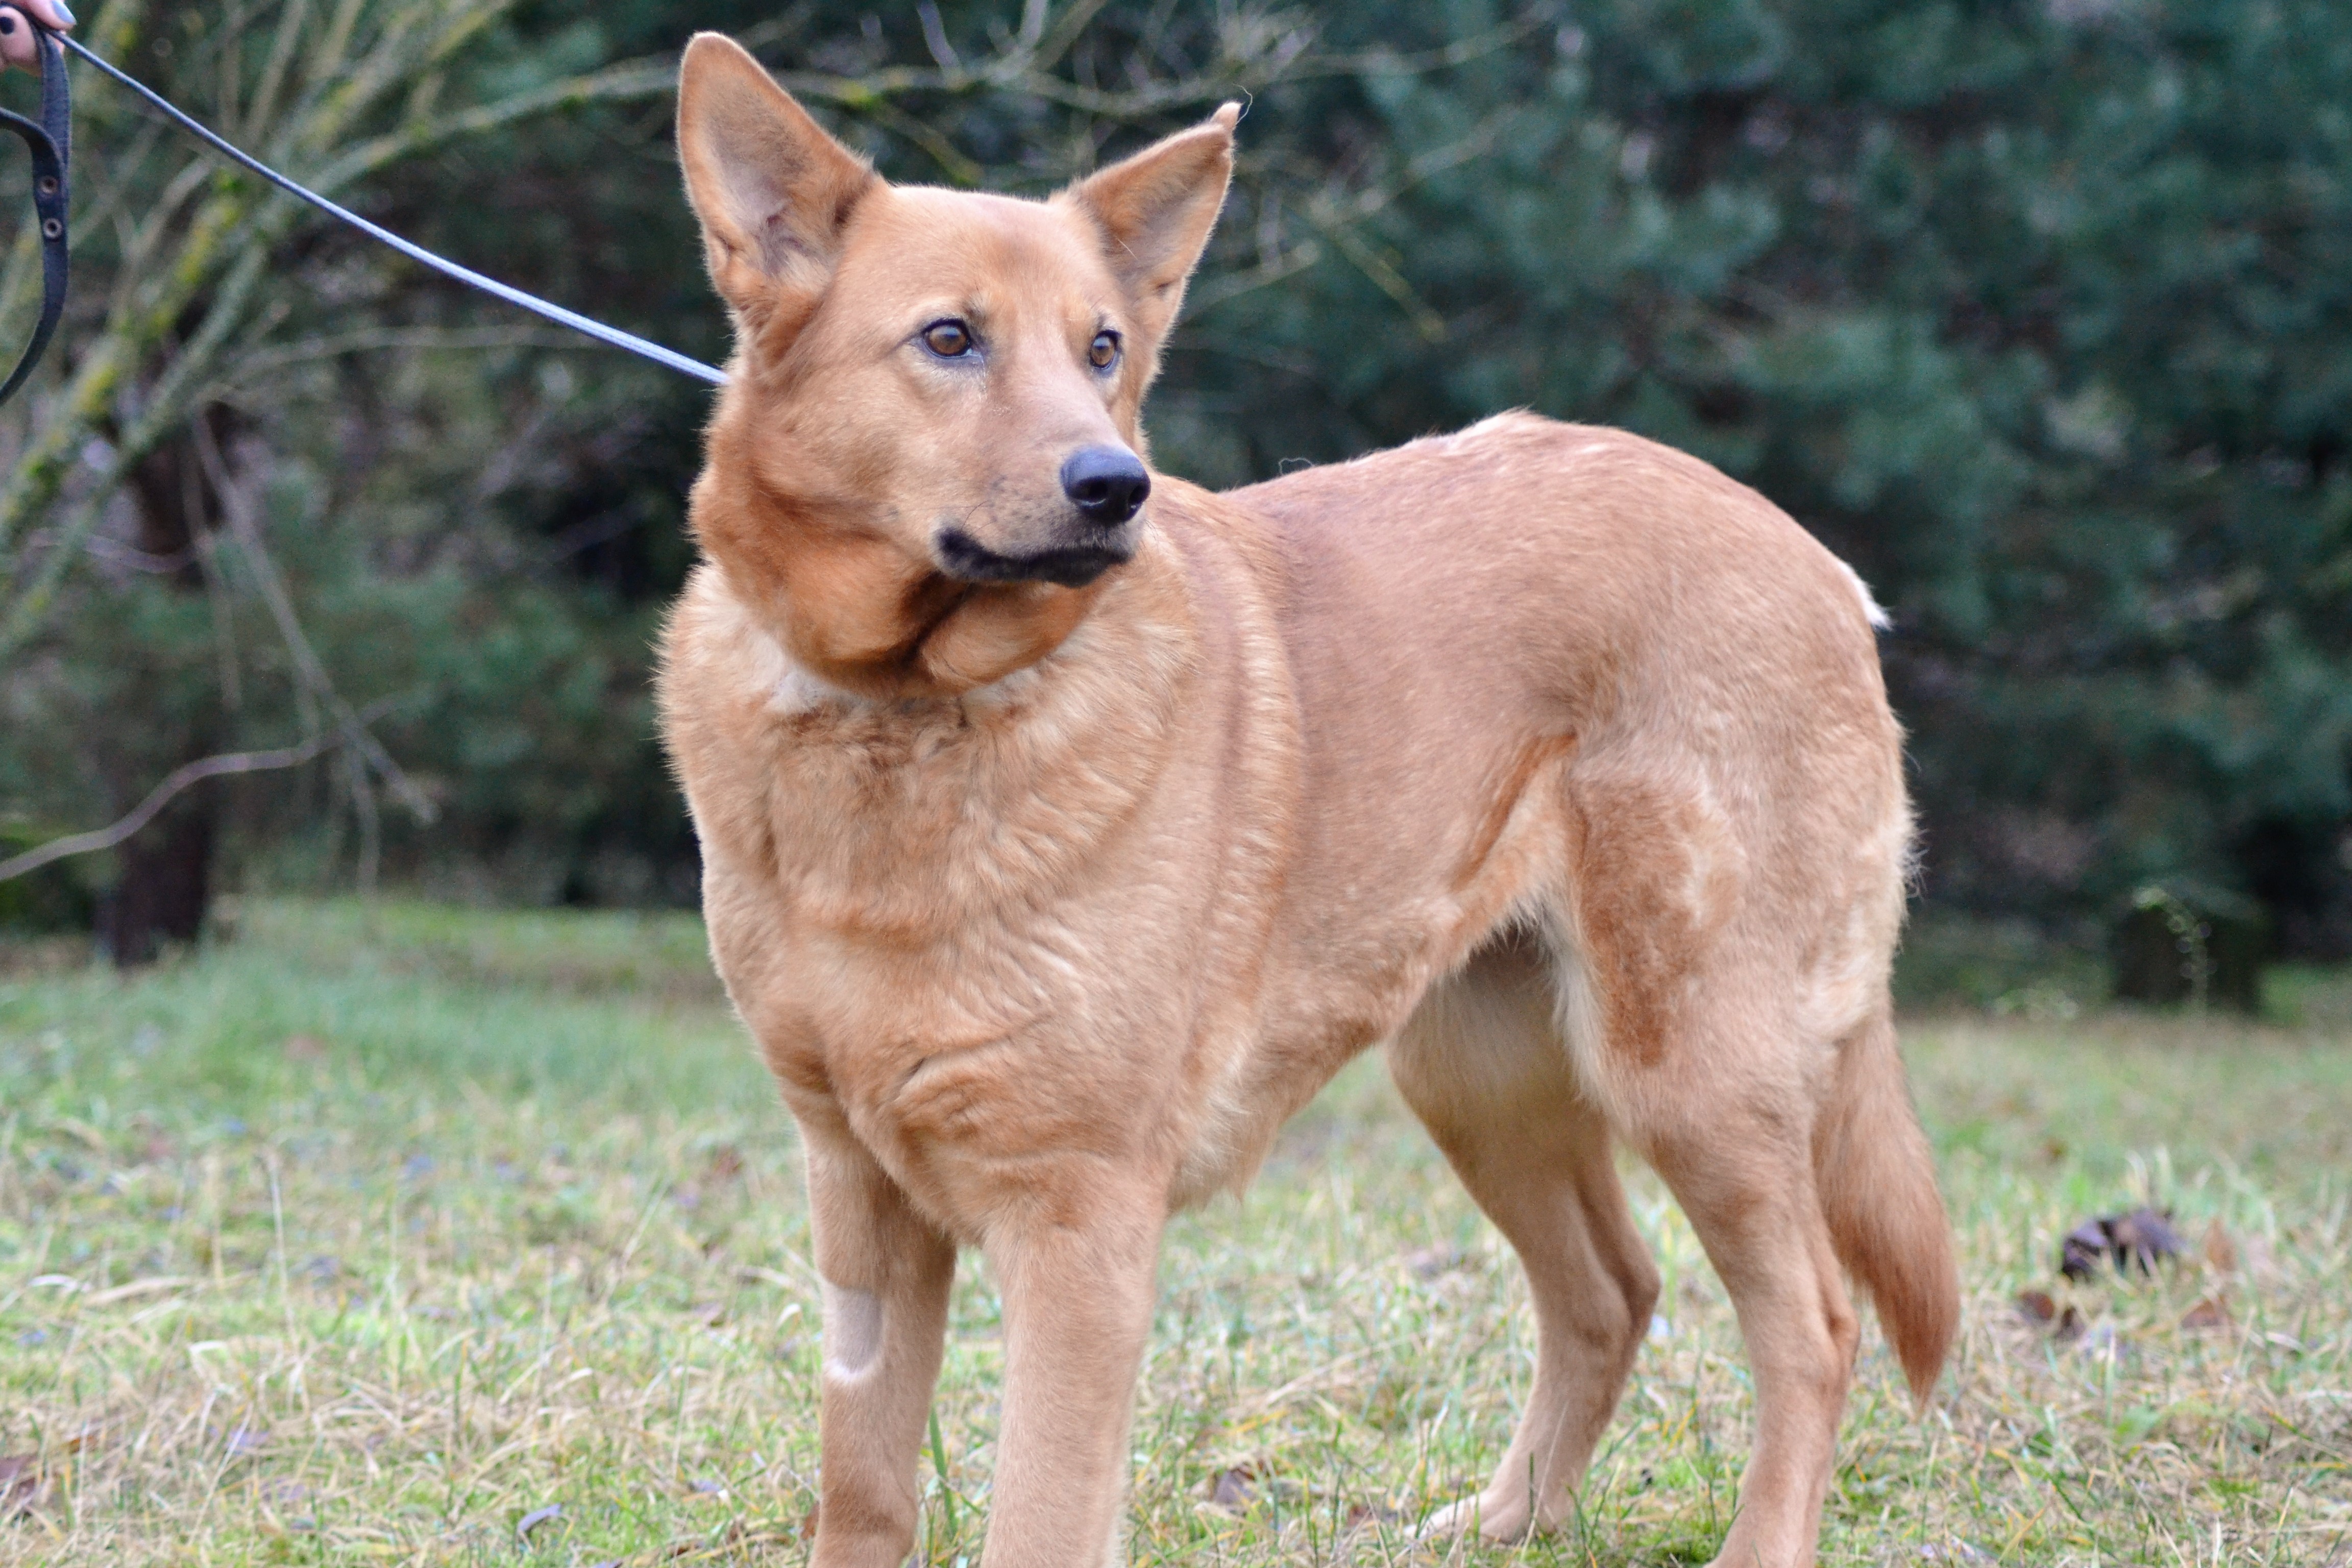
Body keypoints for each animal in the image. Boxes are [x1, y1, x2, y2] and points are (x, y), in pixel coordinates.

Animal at [656, 33, 1958, 1568]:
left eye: (1104, 349)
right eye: (949, 340)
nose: (1116, 486)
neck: (900, 713)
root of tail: (1813, 562)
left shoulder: (1078, 1220)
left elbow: (1041, 1509)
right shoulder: (860, 1203)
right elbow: (863, 1491)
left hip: (1691, 1071)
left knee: (1811, 1323)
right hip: (1474, 1075)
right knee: (1611, 1289)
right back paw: (1500, 1522)